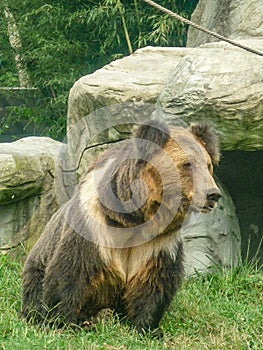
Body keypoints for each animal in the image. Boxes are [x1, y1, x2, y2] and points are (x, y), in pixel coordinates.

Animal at [22, 119, 221, 336]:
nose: (213, 194)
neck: (132, 219)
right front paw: (62, 322)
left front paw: (148, 328)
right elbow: (71, 270)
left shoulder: (157, 240)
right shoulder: (95, 227)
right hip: (36, 266)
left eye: (208, 165)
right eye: (187, 164)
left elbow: (153, 281)